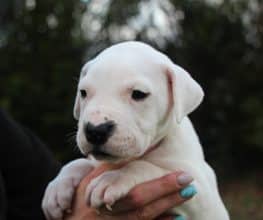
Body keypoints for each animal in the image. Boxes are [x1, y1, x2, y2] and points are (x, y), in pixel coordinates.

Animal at [42, 41, 230, 220]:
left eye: (138, 94)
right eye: (83, 92)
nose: (95, 131)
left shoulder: (202, 194)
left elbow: (146, 166)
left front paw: (115, 178)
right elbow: (78, 163)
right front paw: (57, 187)